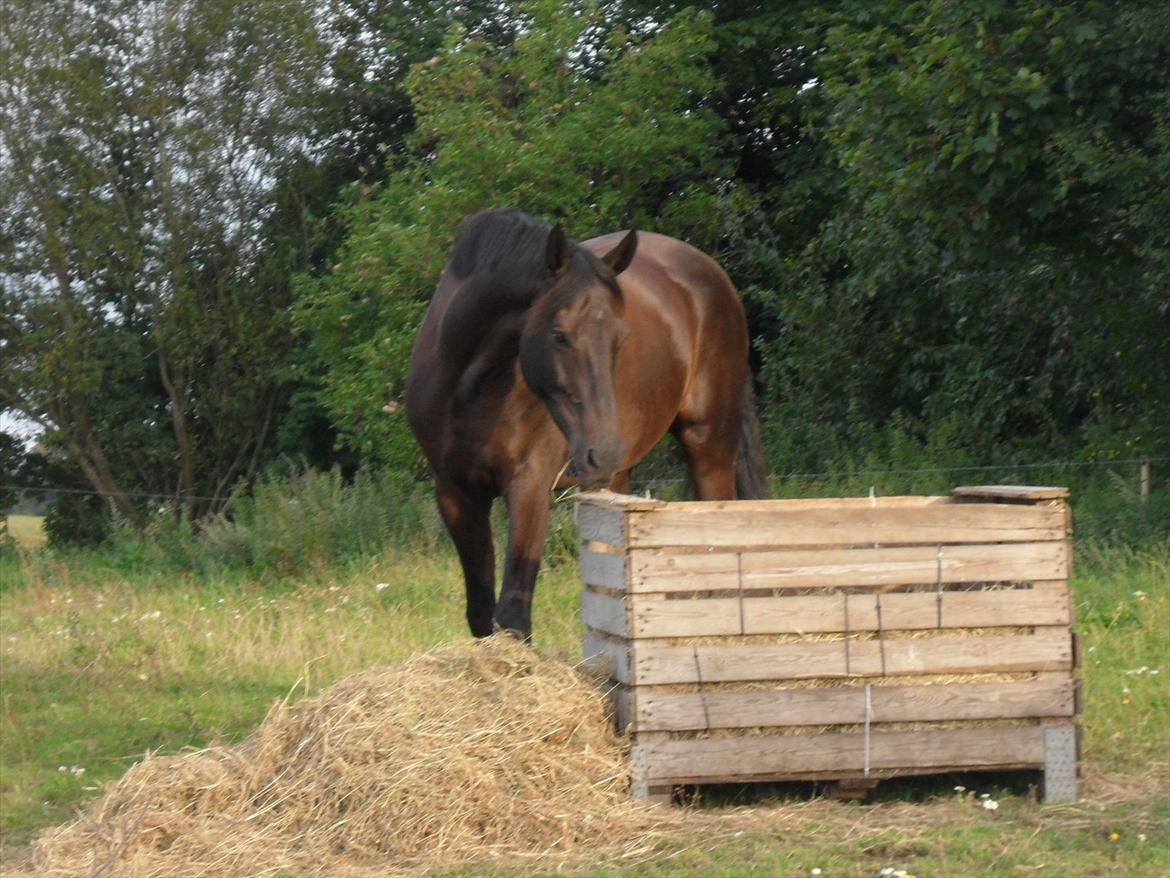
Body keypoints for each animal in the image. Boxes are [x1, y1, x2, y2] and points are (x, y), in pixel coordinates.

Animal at [404, 211, 767, 641]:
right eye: (559, 335)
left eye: (621, 338)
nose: (602, 450)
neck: (470, 387)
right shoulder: (455, 493)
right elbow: (481, 615)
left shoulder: (529, 486)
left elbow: (513, 615)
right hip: (616, 478)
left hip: (708, 446)